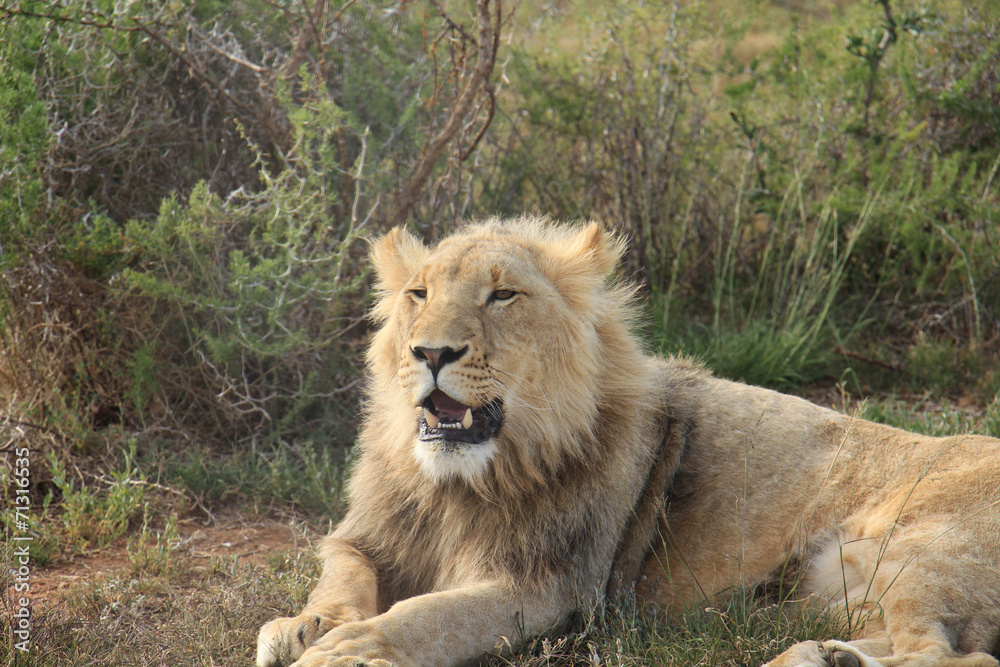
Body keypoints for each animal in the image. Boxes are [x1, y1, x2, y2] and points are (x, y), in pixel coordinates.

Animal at [256, 217, 1000, 667]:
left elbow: (429, 615)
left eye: (502, 295)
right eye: (417, 293)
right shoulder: (366, 535)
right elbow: (344, 573)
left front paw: (345, 647)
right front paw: (304, 626)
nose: (431, 352)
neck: (464, 481)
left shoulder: (553, 585)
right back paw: (819, 654)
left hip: (916, 552)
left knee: (957, 655)